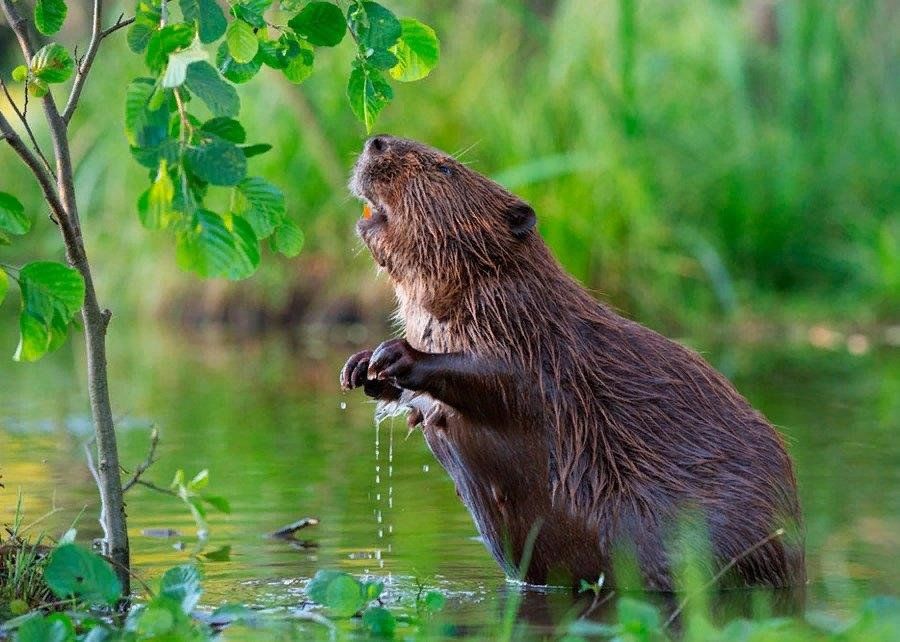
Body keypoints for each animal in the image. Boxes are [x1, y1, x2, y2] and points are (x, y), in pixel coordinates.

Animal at [342, 135, 804, 592]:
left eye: (445, 169)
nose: (376, 141)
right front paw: (361, 368)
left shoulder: (534, 336)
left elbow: (501, 380)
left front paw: (395, 354)